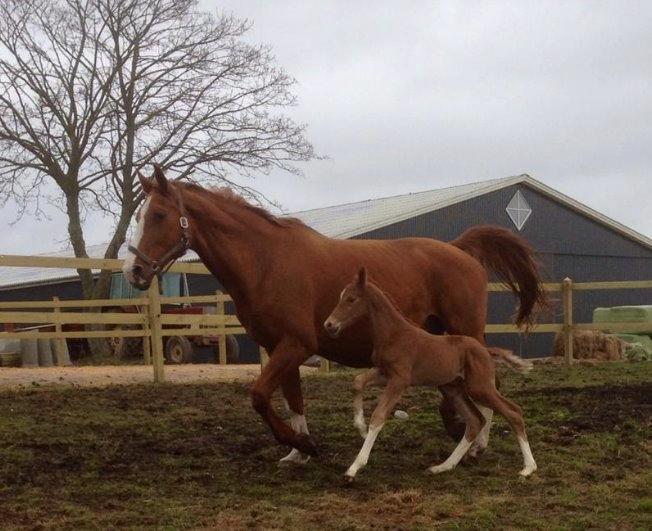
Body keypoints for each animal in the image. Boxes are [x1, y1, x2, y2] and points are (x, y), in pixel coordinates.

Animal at [324, 268, 536, 480]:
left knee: (513, 412)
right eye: (341, 297)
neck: (394, 334)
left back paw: (528, 468)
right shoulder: (384, 373)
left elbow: (378, 417)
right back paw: (443, 466)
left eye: (351, 299)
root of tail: (486, 350)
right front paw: (359, 425)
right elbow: (358, 381)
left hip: (479, 387)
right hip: (453, 388)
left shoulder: (400, 380)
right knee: (475, 421)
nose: (329, 324)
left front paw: (354, 467)